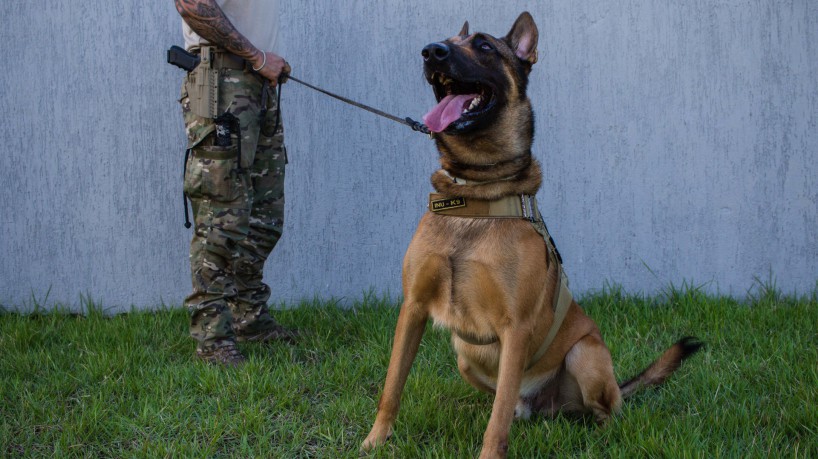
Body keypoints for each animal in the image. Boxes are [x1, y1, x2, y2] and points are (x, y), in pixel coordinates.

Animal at [360, 12, 700, 458]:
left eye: (484, 46)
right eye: (446, 41)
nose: (431, 51)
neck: (476, 192)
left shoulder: (515, 327)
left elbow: (497, 419)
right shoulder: (413, 308)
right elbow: (392, 387)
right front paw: (375, 440)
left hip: (585, 354)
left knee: (602, 410)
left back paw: (603, 438)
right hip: (465, 357)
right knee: (516, 405)